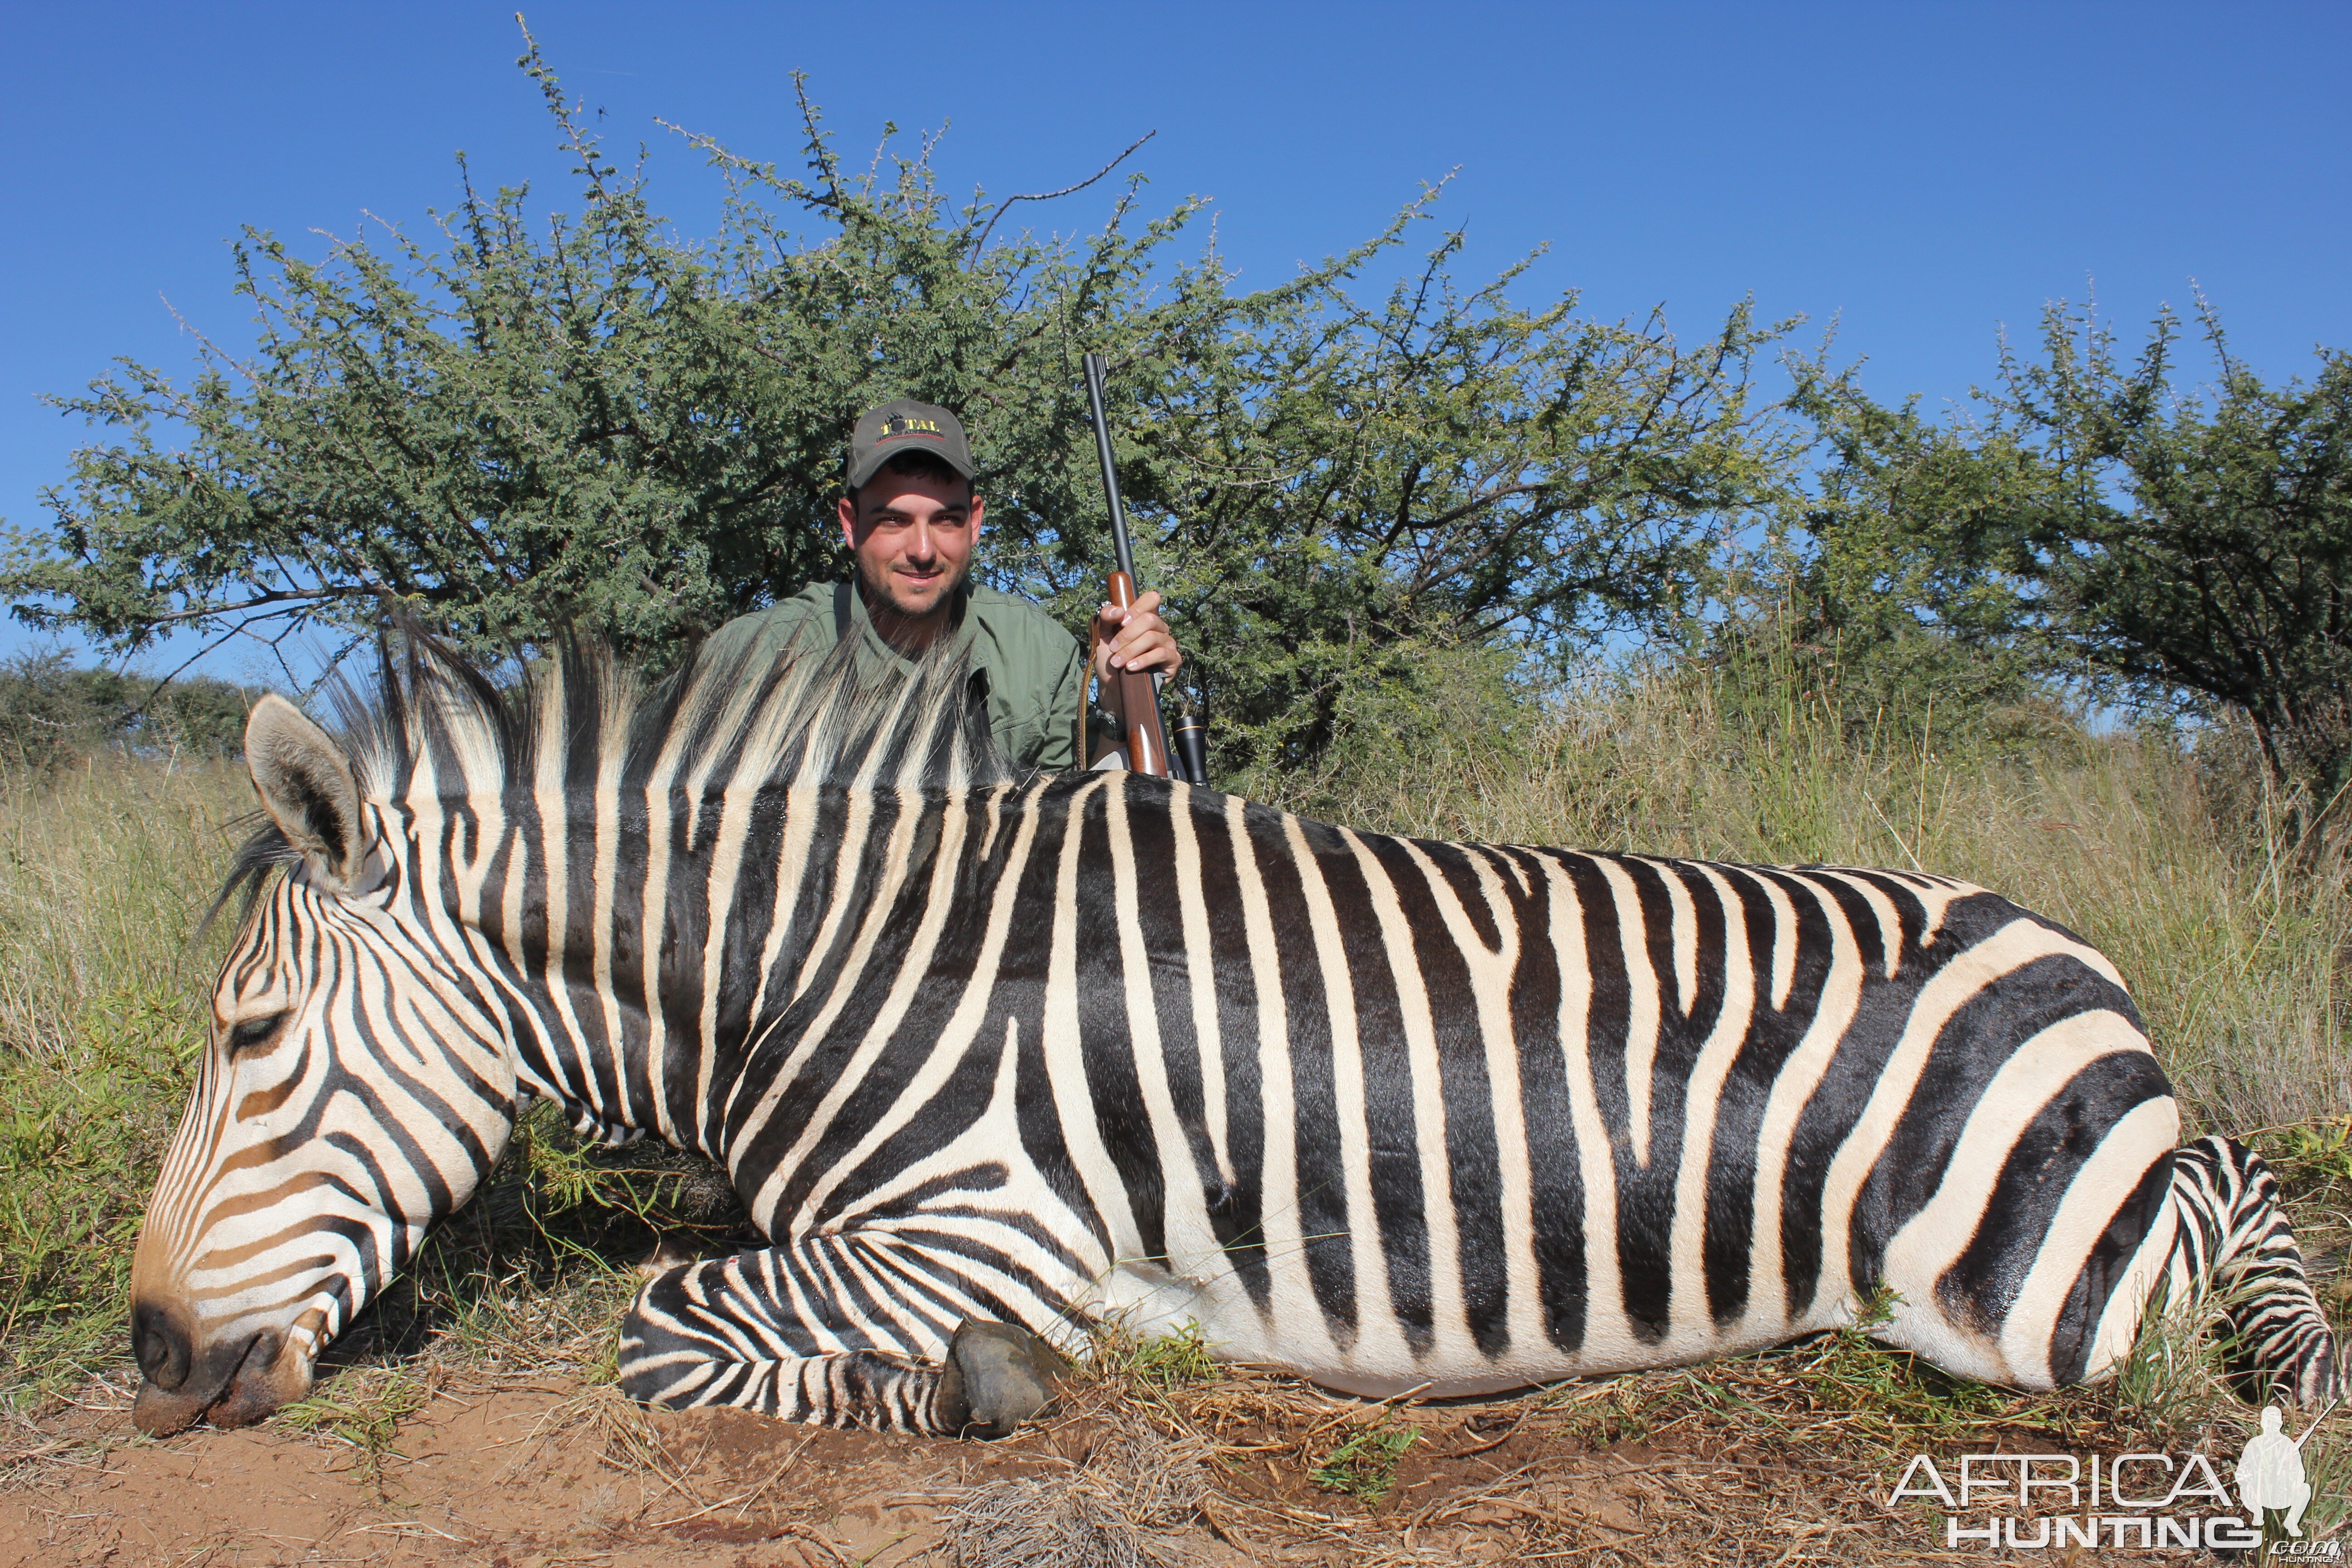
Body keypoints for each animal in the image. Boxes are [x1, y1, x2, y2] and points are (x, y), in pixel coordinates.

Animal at [128, 634, 2333, 1439]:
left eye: (250, 1031)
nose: (145, 1354)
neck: (823, 962)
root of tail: (2071, 946)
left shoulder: (983, 1229)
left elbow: (662, 1320)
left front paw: (967, 1390)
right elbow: (679, 1308)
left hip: (2030, 1304)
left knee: (2233, 1191)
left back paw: (2297, 1369)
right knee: (2232, 1167)